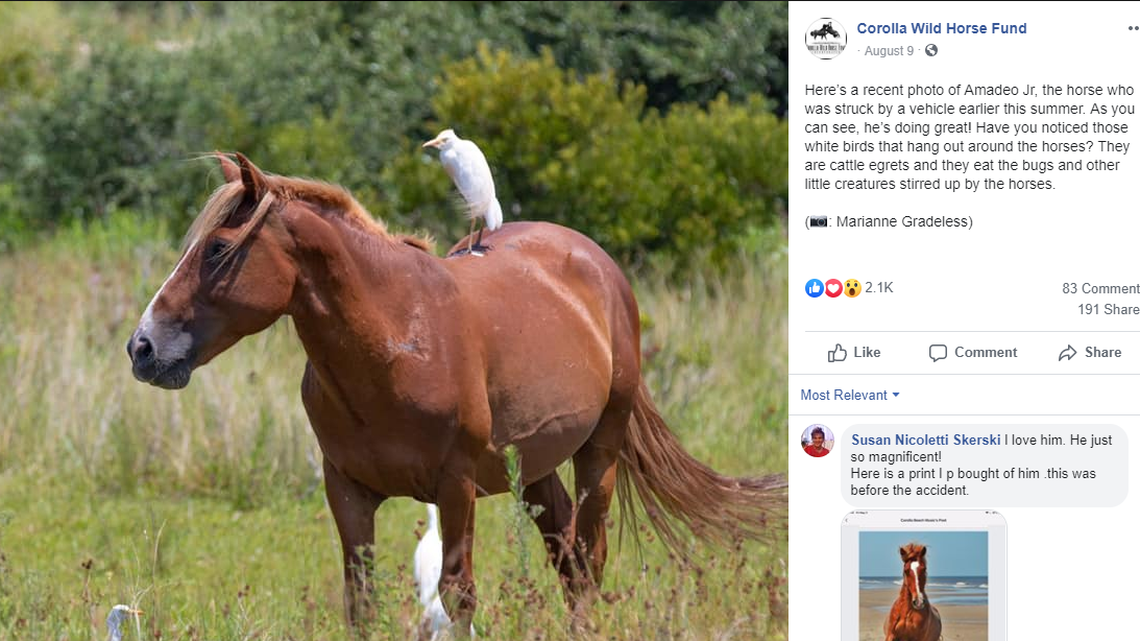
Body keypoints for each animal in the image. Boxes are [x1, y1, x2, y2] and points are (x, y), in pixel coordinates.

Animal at [126, 153, 786, 632]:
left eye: (217, 249)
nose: (143, 347)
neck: (394, 340)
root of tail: (596, 262)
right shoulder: (347, 490)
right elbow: (361, 600)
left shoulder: (456, 485)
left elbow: (458, 594)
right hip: (534, 468)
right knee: (568, 560)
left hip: (600, 449)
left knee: (589, 558)